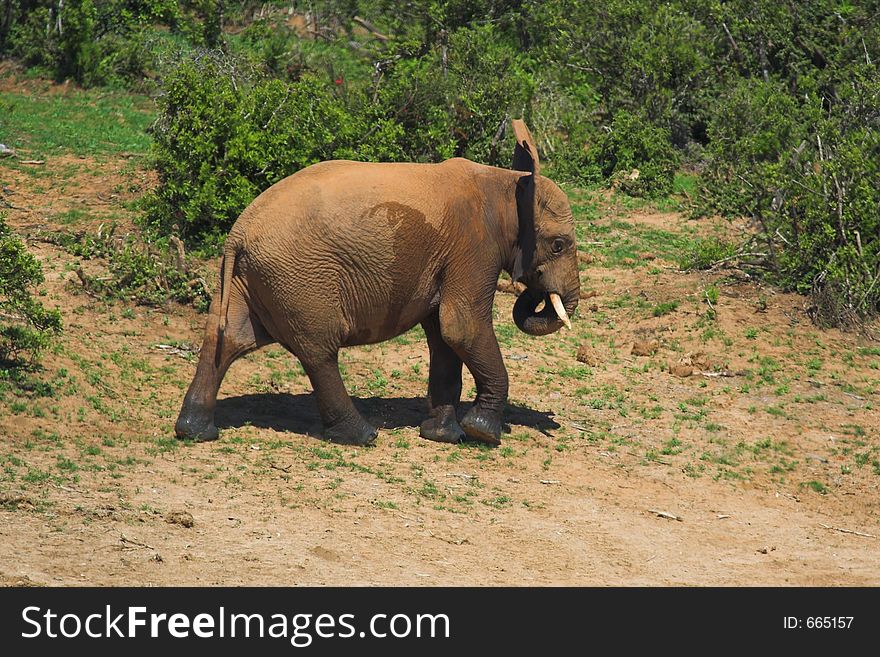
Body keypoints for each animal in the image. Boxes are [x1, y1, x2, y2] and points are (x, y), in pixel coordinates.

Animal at [174, 119, 580, 446]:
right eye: (559, 245)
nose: (537, 291)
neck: (508, 185)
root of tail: (238, 232)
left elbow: (443, 336)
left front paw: (445, 437)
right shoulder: (473, 247)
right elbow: (460, 327)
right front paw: (482, 433)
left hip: (248, 277)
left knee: (228, 339)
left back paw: (194, 431)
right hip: (299, 278)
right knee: (319, 350)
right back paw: (361, 436)